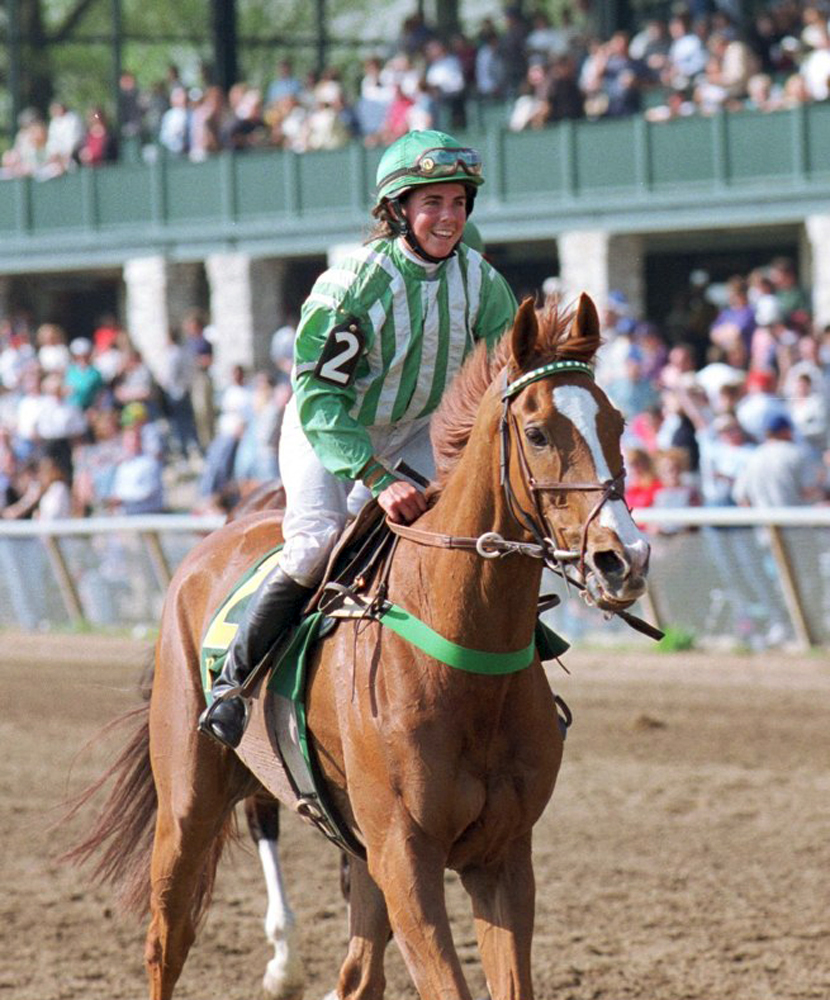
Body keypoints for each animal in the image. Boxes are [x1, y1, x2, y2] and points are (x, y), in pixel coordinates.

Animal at [70, 292, 648, 996]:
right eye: (537, 433)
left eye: (617, 422)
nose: (624, 559)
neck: (465, 661)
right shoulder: (406, 855)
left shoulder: (500, 853)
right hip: (187, 799)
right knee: (167, 939)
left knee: (357, 971)